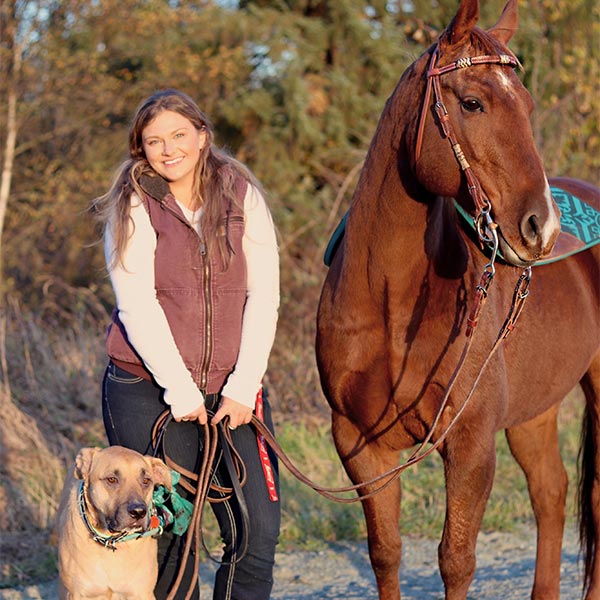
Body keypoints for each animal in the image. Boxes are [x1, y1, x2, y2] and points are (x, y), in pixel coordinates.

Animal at [56, 448, 171, 596]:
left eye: (146, 480)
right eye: (112, 479)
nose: (139, 511)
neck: (112, 542)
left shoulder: (141, 593)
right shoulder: (77, 593)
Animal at [316, 1, 596, 600]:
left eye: (528, 104)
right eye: (472, 102)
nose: (540, 228)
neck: (391, 303)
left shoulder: (468, 443)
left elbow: (457, 559)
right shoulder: (359, 446)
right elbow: (386, 553)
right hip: (534, 411)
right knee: (552, 492)